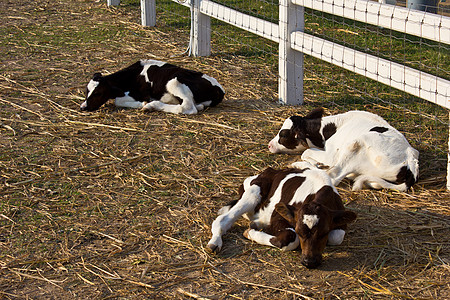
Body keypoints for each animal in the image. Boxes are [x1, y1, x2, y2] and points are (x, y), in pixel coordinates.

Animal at [81, 59, 225, 114]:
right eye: (86, 91)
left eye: (98, 93)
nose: (83, 107)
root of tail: (220, 89)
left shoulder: (140, 93)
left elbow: (117, 101)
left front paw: (143, 103)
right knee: (196, 106)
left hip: (173, 81)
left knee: (187, 107)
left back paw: (151, 105)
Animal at [206, 163, 356, 268]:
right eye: (299, 231)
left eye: (323, 233)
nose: (309, 262)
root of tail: (271, 170)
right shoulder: (279, 216)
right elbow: (289, 237)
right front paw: (250, 233)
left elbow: (336, 236)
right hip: (254, 191)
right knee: (223, 219)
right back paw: (215, 242)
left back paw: (257, 223)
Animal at [268, 109, 418, 191]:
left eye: (283, 134)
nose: (269, 145)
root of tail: (410, 161)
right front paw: (317, 163)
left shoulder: (332, 155)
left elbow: (306, 152)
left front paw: (315, 163)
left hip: (356, 145)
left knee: (333, 176)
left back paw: (301, 166)